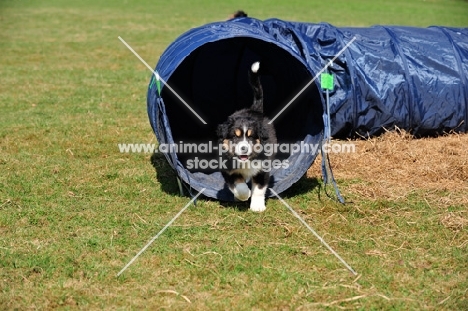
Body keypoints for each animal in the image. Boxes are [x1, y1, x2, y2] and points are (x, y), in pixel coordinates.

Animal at [217, 61, 278, 212]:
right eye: (235, 137)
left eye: (251, 137)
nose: (244, 148)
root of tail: (254, 109)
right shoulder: (227, 169)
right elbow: (238, 185)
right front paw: (243, 196)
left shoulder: (263, 168)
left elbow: (259, 189)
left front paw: (257, 206)